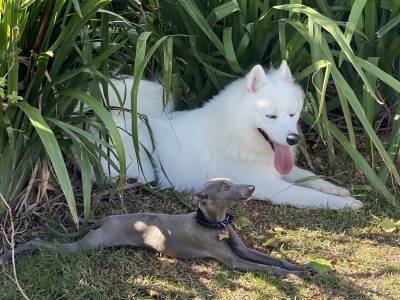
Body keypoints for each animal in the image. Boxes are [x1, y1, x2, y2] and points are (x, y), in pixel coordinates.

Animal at [0, 178, 308, 276]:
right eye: (225, 187)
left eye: (231, 181)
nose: (252, 188)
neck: (215, 224)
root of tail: (105, 219)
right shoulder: (233, 262)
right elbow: (265, 267)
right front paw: (290, 276)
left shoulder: (241, 248)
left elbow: (273, 258)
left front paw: (302, 268)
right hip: (89, 245)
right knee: (42, 243)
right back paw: (10, 254)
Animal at [102, 60, 362, 210]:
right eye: (270, 116)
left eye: (292, 113)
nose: (292, 139)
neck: (236, 133)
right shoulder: (267, 185)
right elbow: (308, 194)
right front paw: (346, 203)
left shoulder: (274, 169)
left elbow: (309, 176)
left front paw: (336, 189)